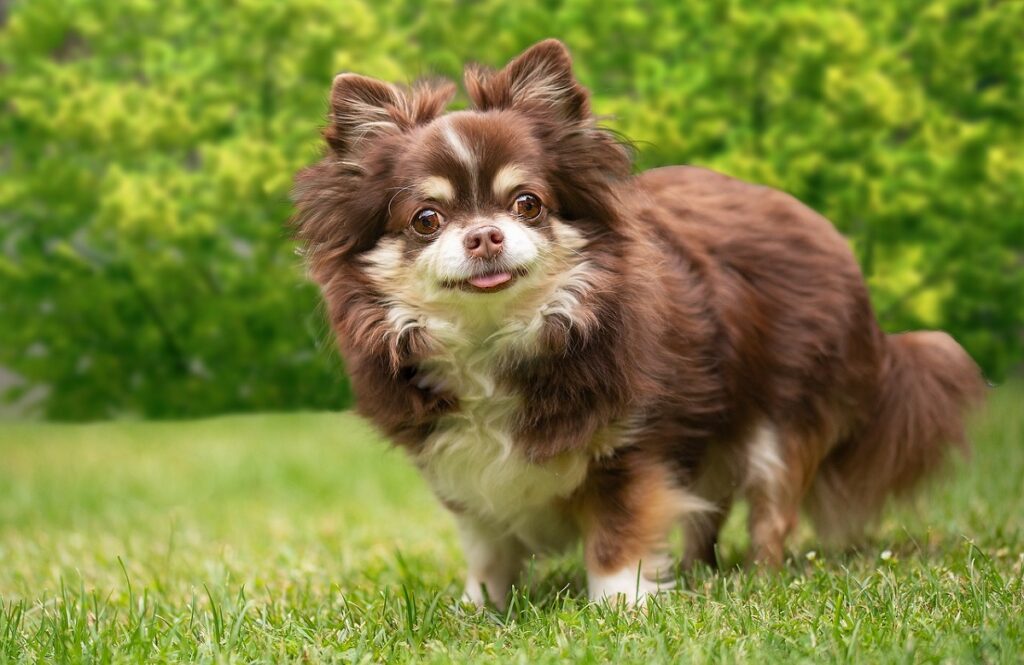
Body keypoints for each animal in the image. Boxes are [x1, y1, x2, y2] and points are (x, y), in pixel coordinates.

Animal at [294, 37, 983, 606]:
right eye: (426, 219)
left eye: (527, 204)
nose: (486, 234)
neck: (498, 336)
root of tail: (829, 236)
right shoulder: (462, 464)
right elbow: (487, 546)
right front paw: (481, 609)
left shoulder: (628, 445)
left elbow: (617, 534)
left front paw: (620, 607)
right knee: (708, 509)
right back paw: (702, 574)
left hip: (784, 417)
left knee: (771, 510)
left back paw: (758, 580)